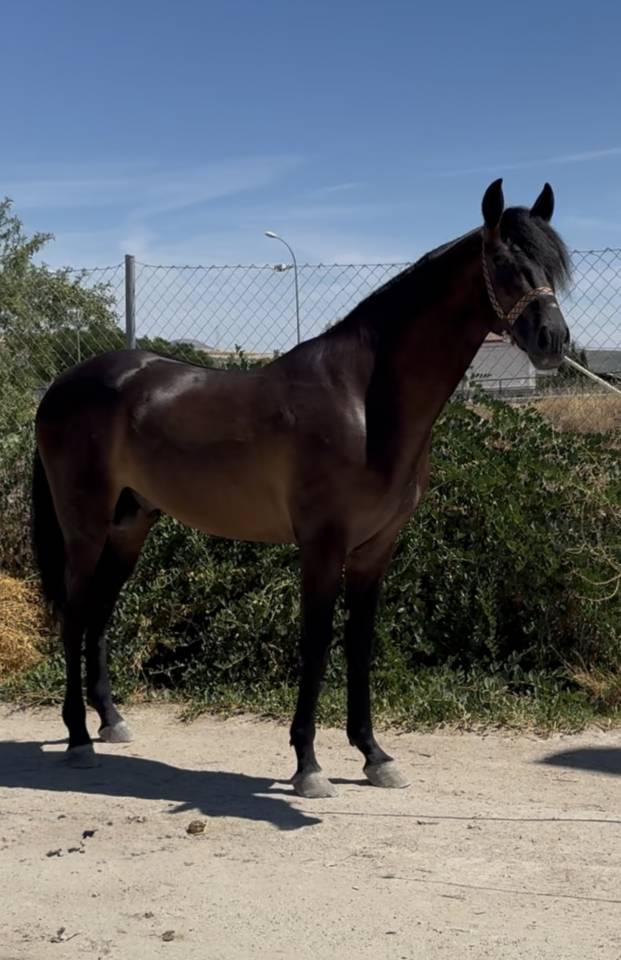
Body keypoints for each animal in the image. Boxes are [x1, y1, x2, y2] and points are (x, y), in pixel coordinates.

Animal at [32, 179, 571, 798]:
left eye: (553, 264)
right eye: (504, 263)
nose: (554, 339)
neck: (363, 400)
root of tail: (62, 385)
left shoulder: (375, 551)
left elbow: (359, 645)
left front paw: (375, 755)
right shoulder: (322, 545)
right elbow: (316, 644)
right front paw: (308, 764)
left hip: (129, 528)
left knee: (98, 615)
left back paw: (112, 722)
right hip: (85, 528)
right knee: (75, 614)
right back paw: (78, 738)